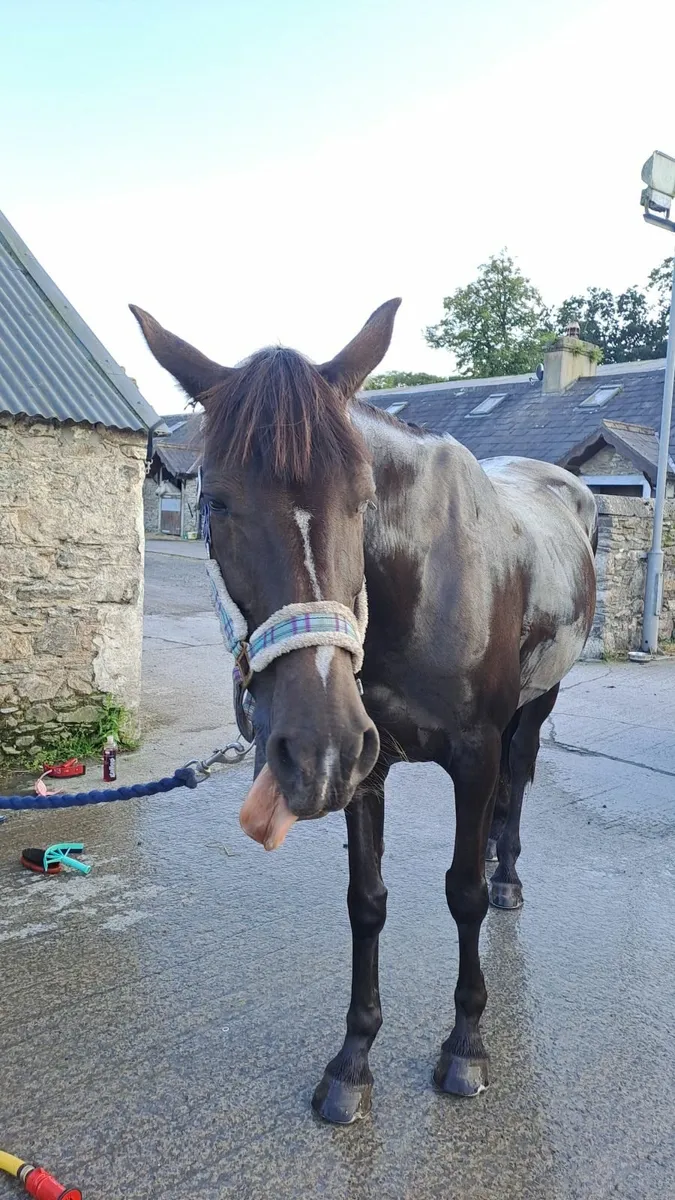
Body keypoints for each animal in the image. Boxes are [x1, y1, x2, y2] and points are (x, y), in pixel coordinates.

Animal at [131, 298, 597, 1125]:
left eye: (361, 500)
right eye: (215, 501)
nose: (309, 746)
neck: (421, 585)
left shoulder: (467, 751)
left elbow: (461, 896)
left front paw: (465, 1045)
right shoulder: (363, 766)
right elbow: (366, 902)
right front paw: (352, 1059)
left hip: (535, 703)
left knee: (514, 781)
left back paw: (505, 871)